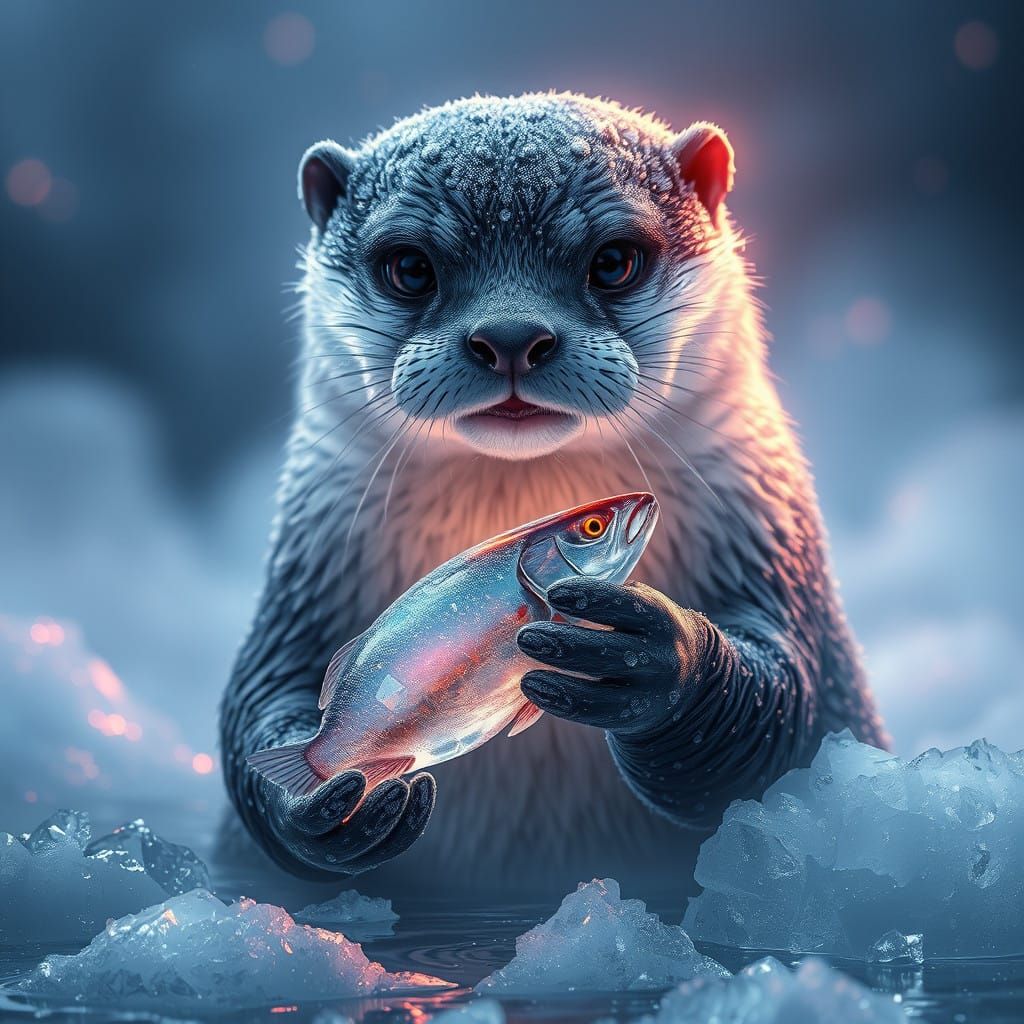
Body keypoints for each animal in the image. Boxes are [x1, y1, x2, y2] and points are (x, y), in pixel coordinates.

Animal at [220, 93, 887, 898]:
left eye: (613, 261)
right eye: (409, 267)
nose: (510, 335)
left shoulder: (773, 560)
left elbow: (795, 713)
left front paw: (659, 660)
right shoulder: (302, 588)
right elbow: (260, 697)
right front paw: (312, 806)